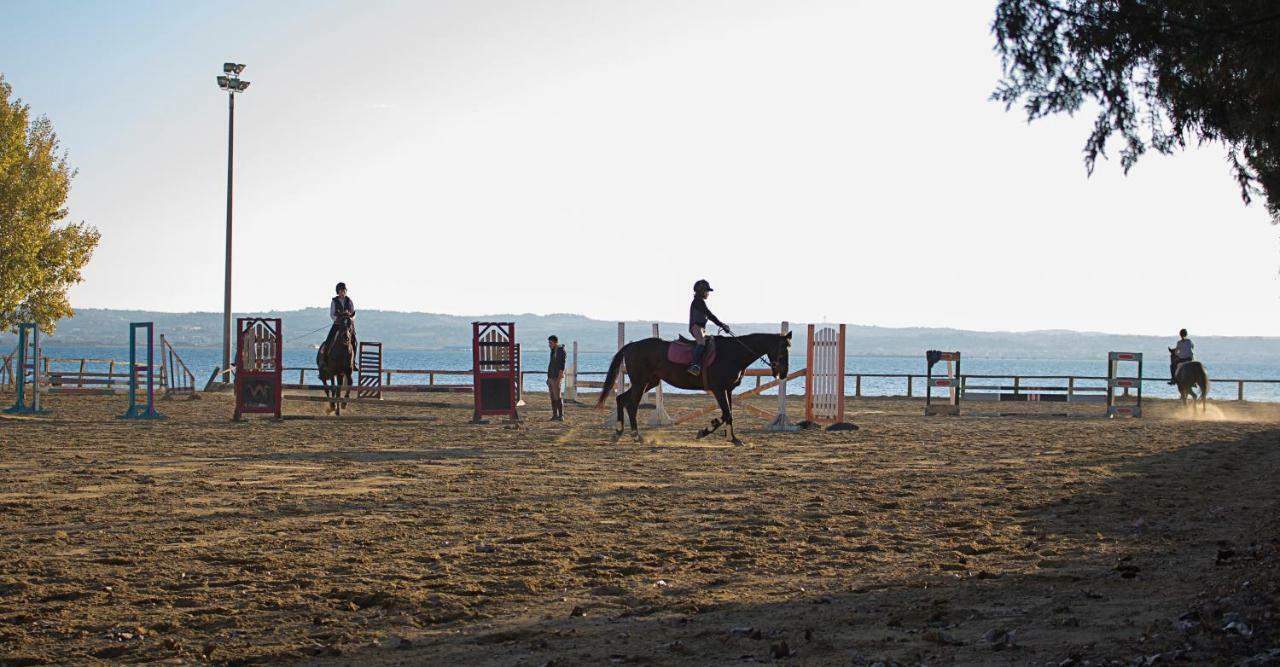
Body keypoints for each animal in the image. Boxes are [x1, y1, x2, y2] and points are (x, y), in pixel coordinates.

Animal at [596, 330, 788, 445]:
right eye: (782, 351)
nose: (784, 373)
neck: (733, 353)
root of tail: (632, 345)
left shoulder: (728, 390)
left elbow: (729, 415)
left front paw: (733, 438)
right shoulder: (719, 389)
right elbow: (726, 414)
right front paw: (705, 431)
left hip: (649, 382)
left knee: (622, 400)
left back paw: (619, 433)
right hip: (640, 382)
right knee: (631, 405)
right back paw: (636, 435)